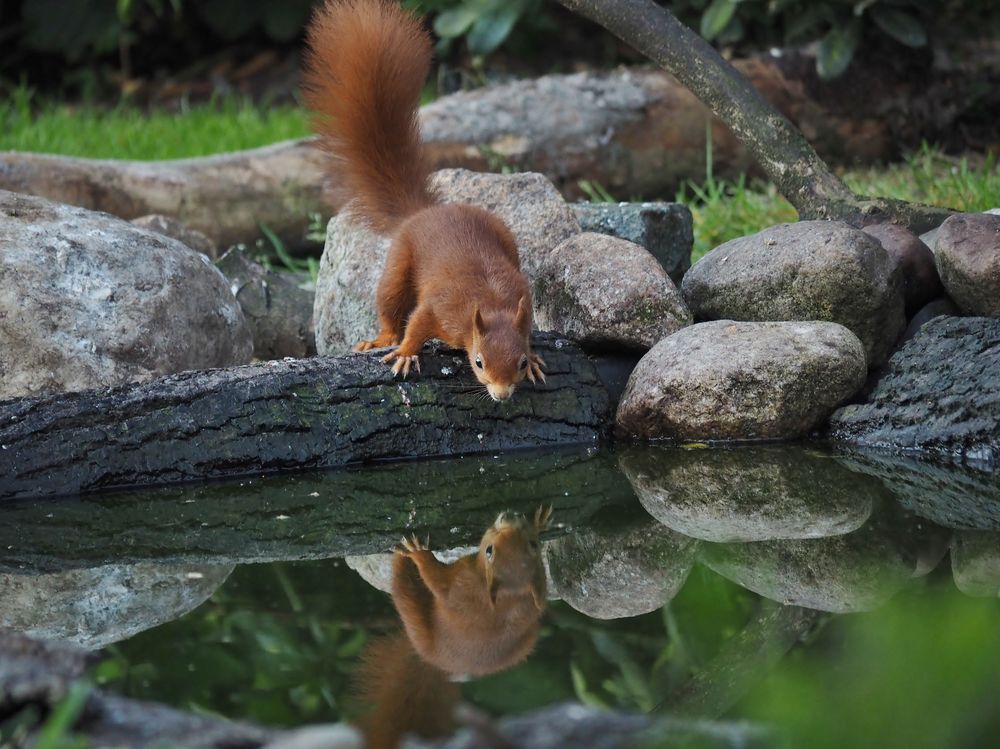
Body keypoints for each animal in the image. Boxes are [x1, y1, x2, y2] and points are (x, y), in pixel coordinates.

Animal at [302, 0, 548, 400]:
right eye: (479, 362)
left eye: (521, 362)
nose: (501, 394)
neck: (491, 303)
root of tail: (426, 211)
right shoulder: (441, 310)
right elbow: (417, 323)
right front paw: (405, 352)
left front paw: (539, 358)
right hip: (399, 262)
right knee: (390, 303)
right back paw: (383, 338)